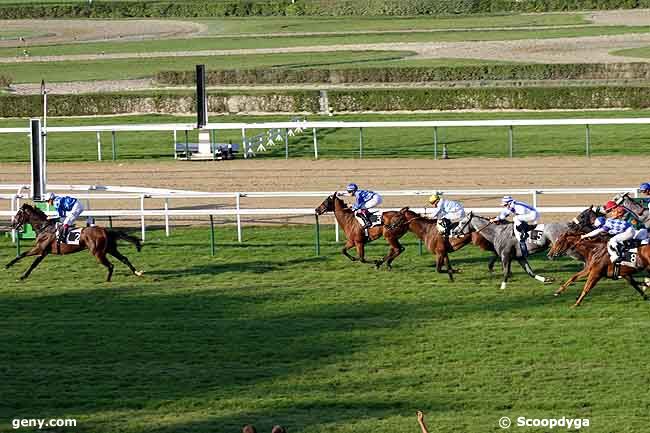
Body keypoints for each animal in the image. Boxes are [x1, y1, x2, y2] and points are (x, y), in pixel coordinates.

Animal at [6, 203, 143, 282]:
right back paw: (137, 272)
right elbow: (27, 258)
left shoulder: (40, 249)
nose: (12, 224)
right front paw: (11, 267)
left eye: (18, 214)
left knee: (111, 265)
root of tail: (104, 230)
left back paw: (107, 280)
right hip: (110, 249)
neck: (44, 228)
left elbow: (27, 259)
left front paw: (19, 273)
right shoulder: (43, 251)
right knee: (124, 259)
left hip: (98, 253)